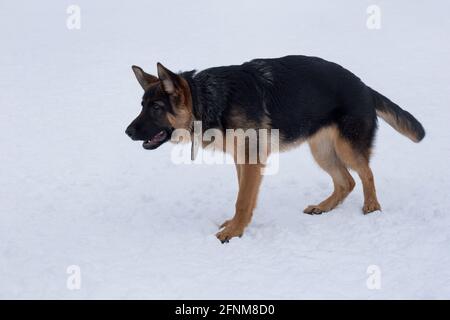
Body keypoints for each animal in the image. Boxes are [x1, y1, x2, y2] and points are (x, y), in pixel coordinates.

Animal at [125, 55, 426, 242]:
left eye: (156, 108)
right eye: (142, 105)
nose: (127, 132)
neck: (208, 98)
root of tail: (364, 85)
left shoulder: (251, 160)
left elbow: (243, 199)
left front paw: (234, 233)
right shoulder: (244, 160)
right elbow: (244, 197)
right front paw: (236, 225)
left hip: (346, 147)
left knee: (366, 174)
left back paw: (372, 207)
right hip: (322, 151)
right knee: (346, 182)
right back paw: (323, 207)